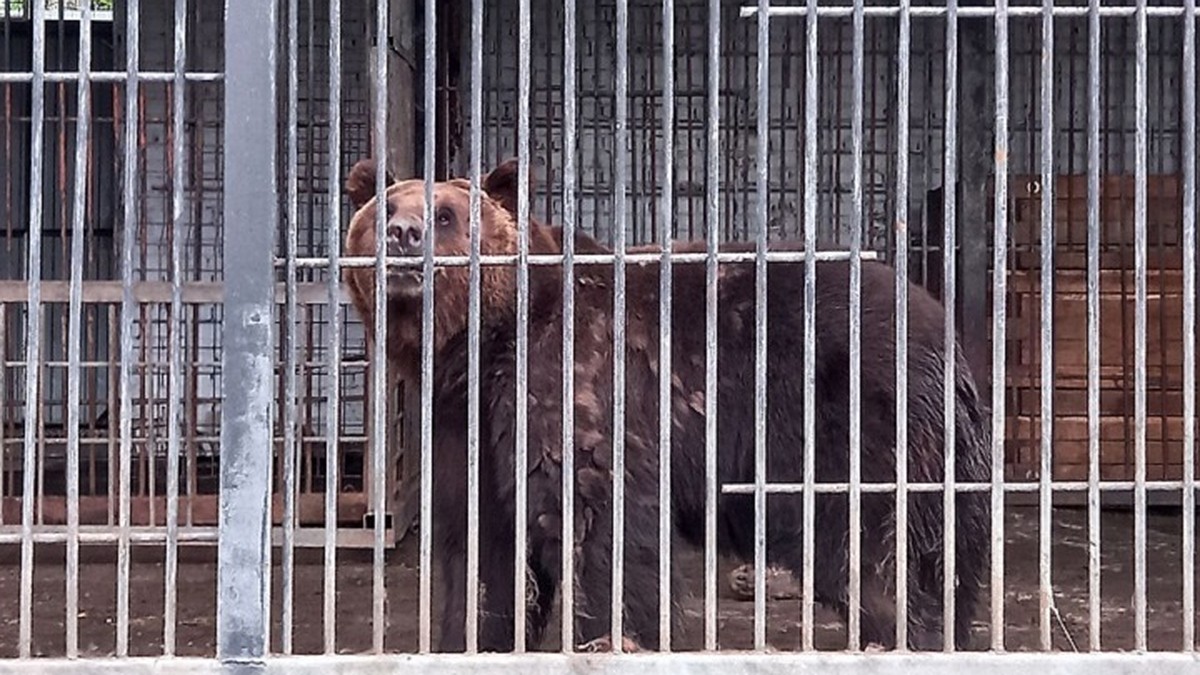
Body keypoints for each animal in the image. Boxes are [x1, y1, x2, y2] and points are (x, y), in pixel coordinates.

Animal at [343, 156, 988, 653]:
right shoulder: (464, 422)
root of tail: (946, 333)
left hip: (856, 420)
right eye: (383, 210)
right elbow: (482, 546)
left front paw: (616, 638)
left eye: (445, 214)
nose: (404, 234)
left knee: (871, 546)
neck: (485, 343)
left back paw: (908, 635)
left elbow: (601, 521)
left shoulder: (580, 379)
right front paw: (471, 639)